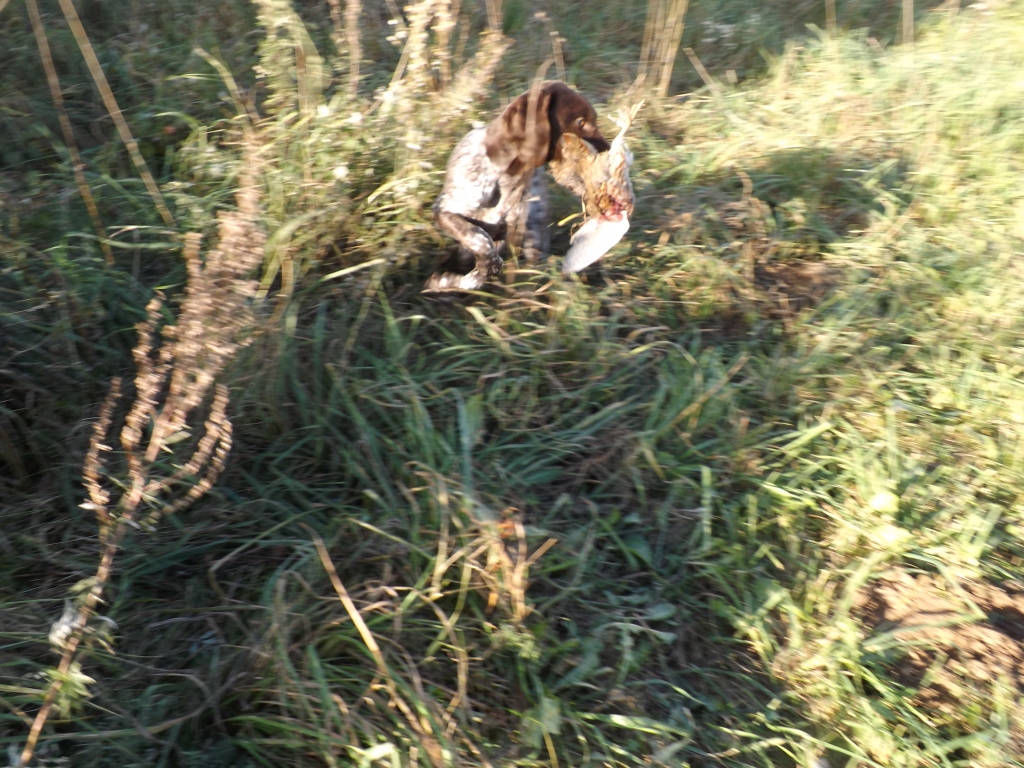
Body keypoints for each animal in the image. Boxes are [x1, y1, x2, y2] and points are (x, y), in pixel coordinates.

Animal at [426, 82, 610, 292]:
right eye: (580, 122)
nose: (610, 156)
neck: (506, 176)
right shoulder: (444, 210)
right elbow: (479, 240)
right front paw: (449, 281)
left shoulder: (510, 232)